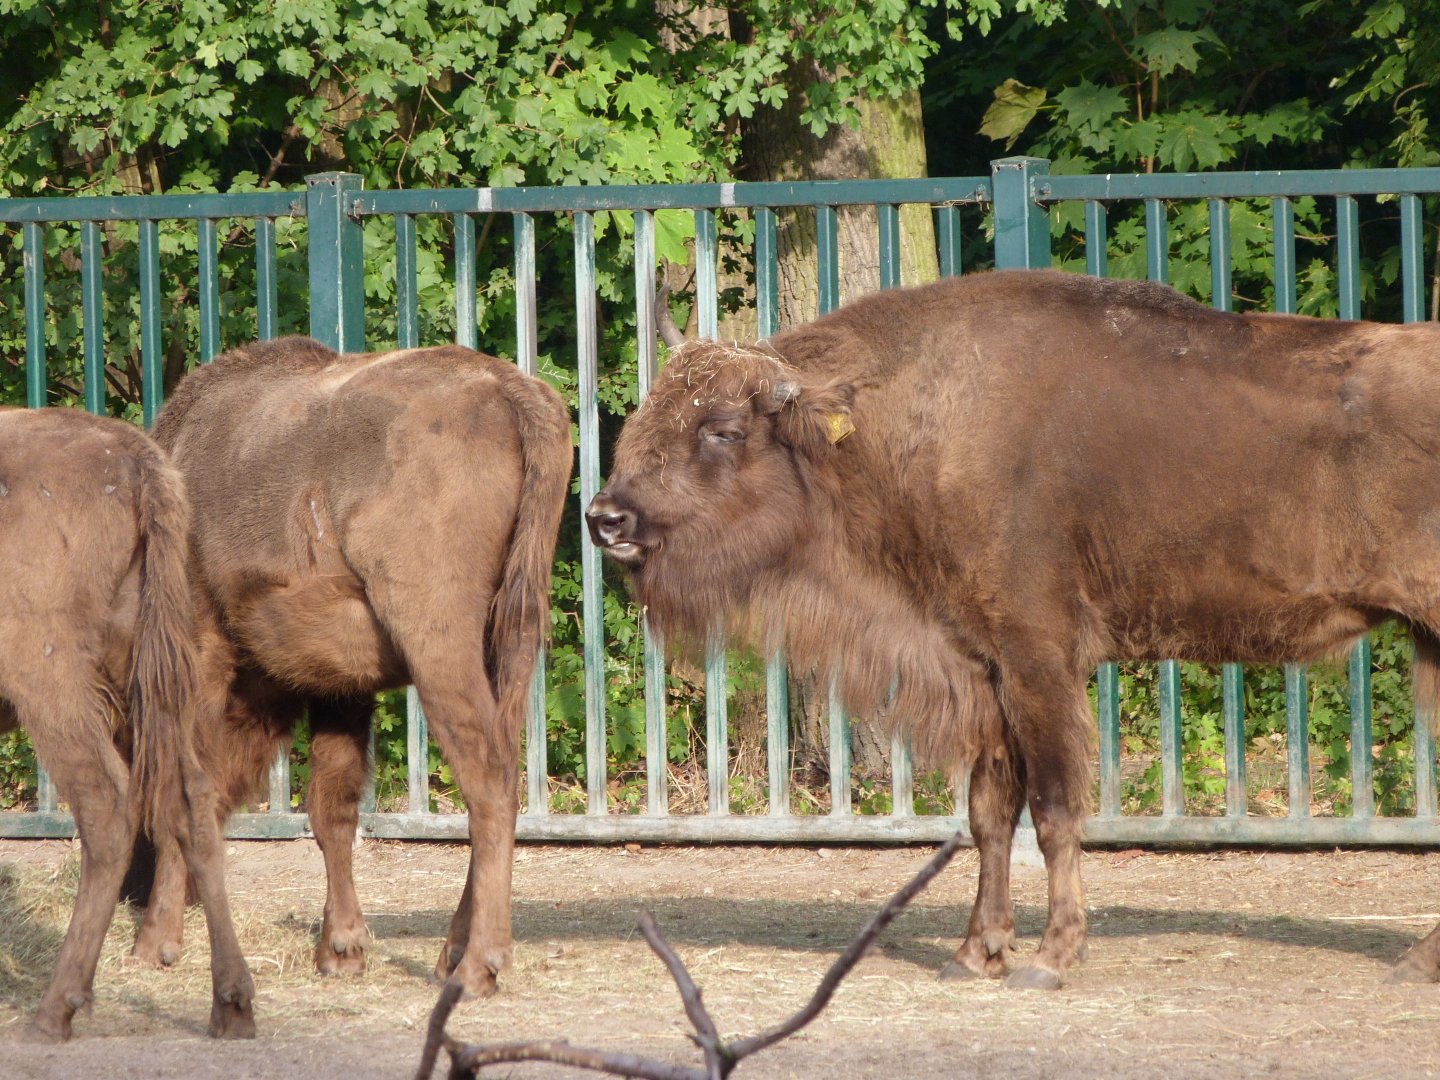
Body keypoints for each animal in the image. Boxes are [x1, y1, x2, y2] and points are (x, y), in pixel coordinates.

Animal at [0, 407, 255, 1039]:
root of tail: (135, 460)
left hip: (52, 682)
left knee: (108, 805)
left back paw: (54, 1012)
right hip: (155, 678)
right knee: (192, 797)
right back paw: (232, 1006)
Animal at [132, 337, 572, 998]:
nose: (130, 894)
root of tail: (510, 389)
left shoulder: (202, 650)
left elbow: (188, 793)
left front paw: (155, 943)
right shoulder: (342, 689)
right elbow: (331, 807)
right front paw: (340, 948)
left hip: (438, 643)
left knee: (488, 782)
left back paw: (476, 967)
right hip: (511, 643)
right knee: (503, 771)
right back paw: (452, 953)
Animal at [587, 268, 1440, 988]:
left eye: (724, 428)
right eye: (648, 414)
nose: (606, 517)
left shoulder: (1038, 659)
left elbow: (1055, 808)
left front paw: (1050, 958)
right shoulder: (982, 665)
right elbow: (989, 812)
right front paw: (975, 954)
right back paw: (1415, 965)